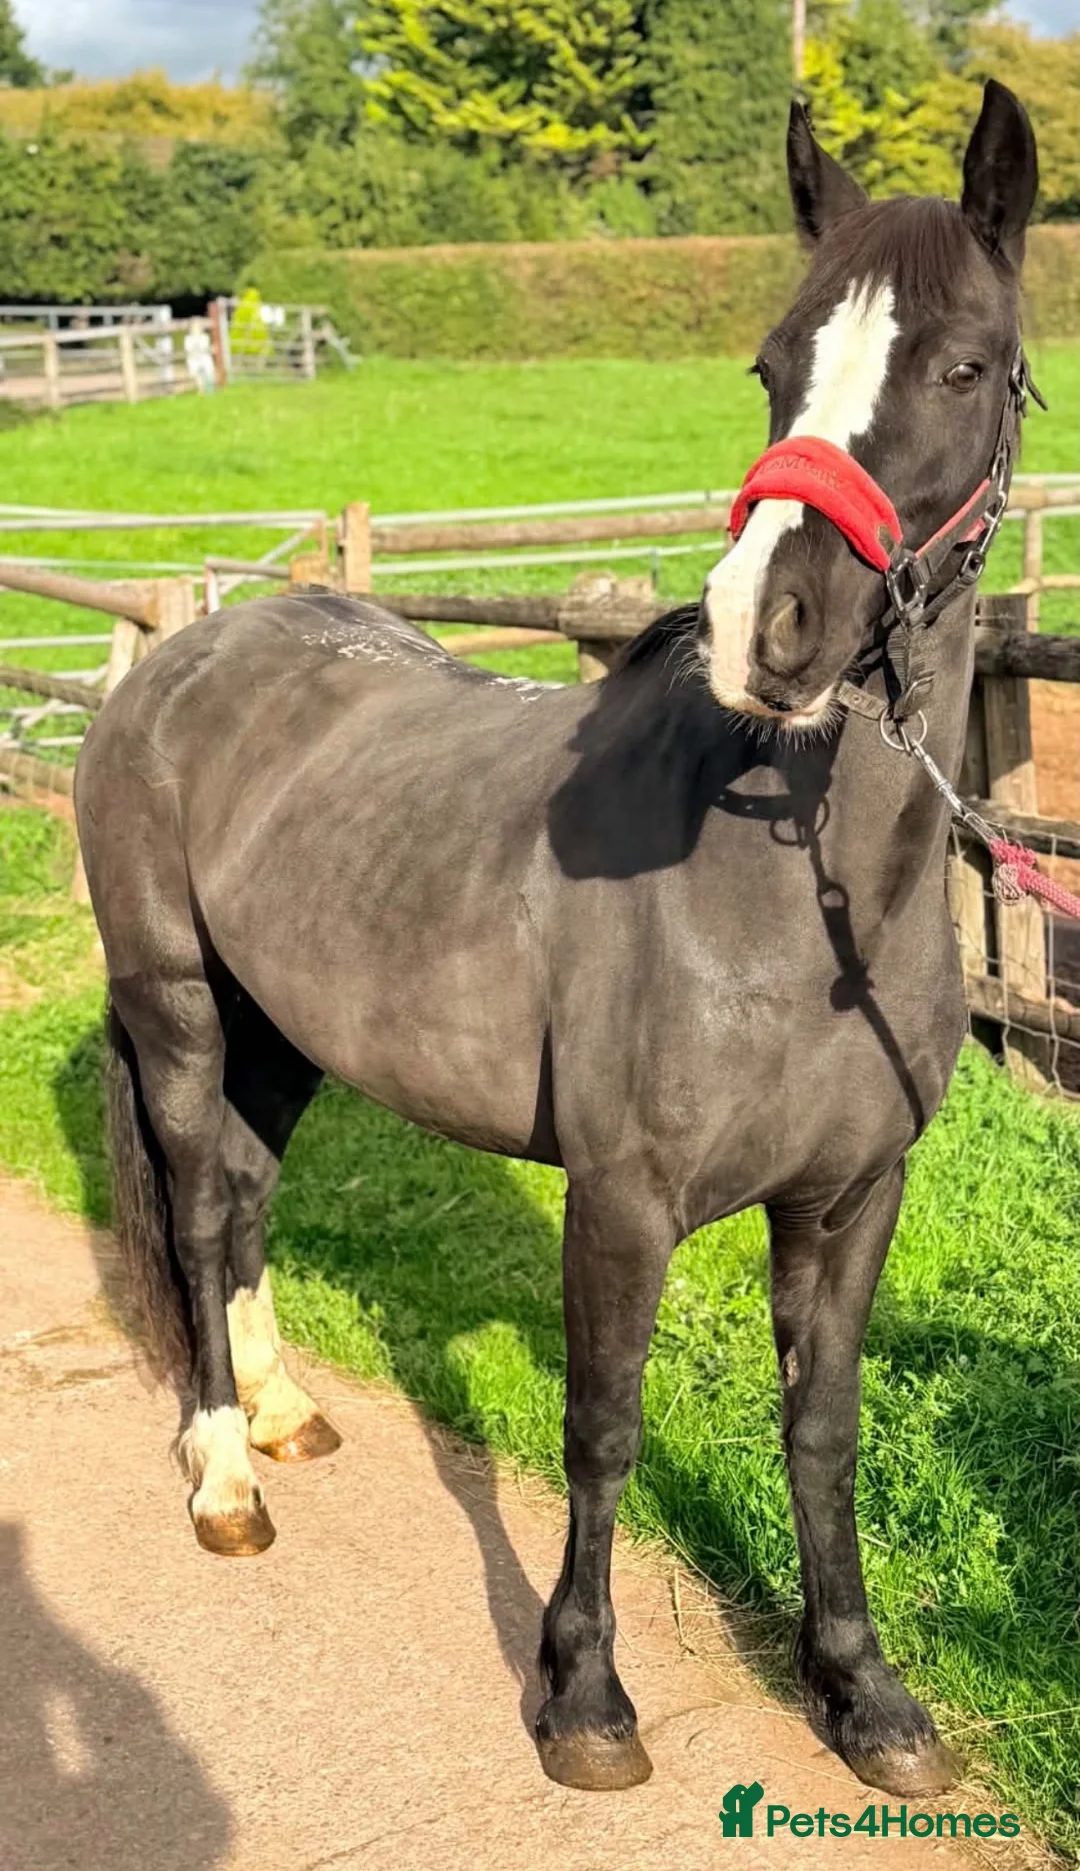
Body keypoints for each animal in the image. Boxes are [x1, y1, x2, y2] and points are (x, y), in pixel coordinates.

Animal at [75, 79, 1038, 1800]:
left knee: (244, 1201)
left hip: (281, 1032)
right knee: (190, 1216)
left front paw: (864, 1692)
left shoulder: (853, 1195)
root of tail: (175, 657)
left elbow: (824, 1426)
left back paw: (285, 1409)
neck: (797, 907)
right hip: (177, 1007)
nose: (768, 631)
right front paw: (585, 1694)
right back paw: (227, 1477)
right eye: (772, 364)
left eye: (965, 365)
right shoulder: (624, 1200)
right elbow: (604, 1426)